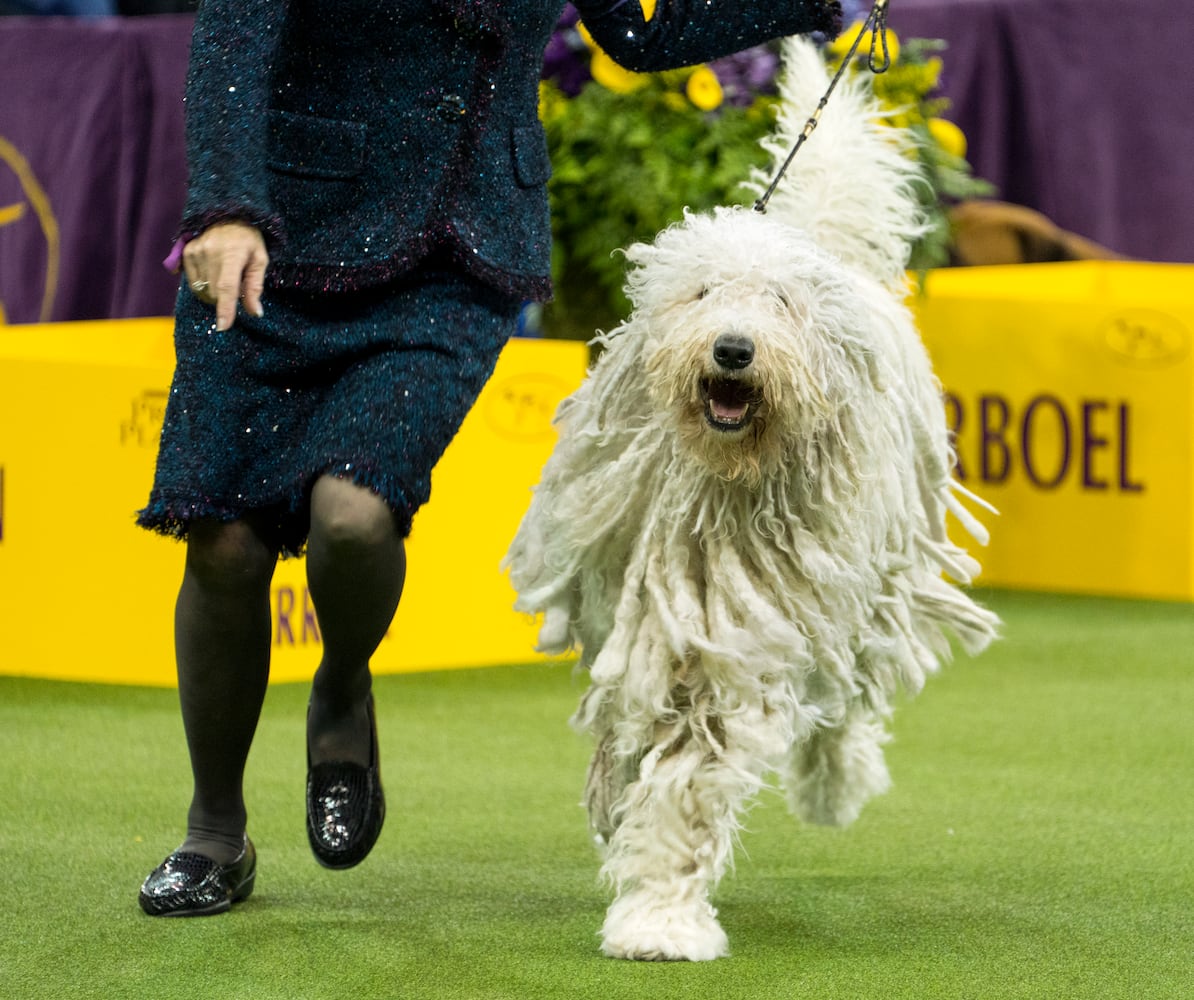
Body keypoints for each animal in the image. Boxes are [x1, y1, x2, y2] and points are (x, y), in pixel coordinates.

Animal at [503, 37, 998, 964]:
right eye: (701, 293)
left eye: (782, 304)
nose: (733, 350)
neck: (731, 483)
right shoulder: (655, 620)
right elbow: (635, 732)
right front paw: (626, 829)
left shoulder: (743, 633)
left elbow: (692, 776)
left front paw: (659, 916)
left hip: (872, 581)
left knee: (848, 697)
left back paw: (834, 784)